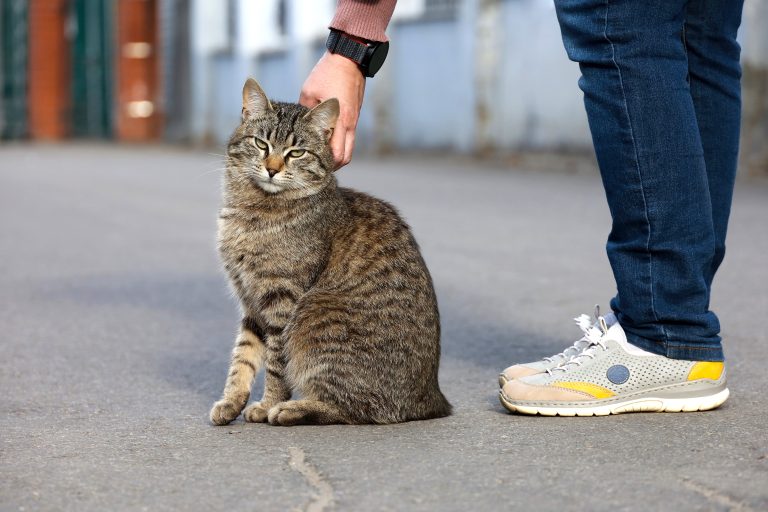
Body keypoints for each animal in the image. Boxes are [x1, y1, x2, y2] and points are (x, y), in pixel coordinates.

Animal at [207, 78, 452, 426]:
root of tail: (432, 399)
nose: (271, 169)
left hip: (316, 319)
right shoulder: (251, 301)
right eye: (261, 144)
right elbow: (243, 357)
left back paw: (292, 409)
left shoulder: (281, 299)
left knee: (357, 409)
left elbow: (276, 365)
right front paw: (231, 402)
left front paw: (268, 404)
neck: (253, 210)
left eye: (296, 152)